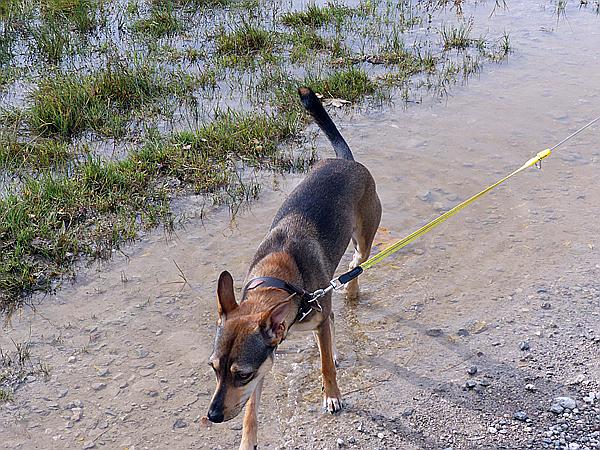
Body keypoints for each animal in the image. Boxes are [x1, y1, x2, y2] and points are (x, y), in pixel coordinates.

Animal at [209, 86, 382, 448]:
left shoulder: (312, 324)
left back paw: (352, 288)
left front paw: (332, 395)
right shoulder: (265, 360)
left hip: (364, 236)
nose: (213, 416)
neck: (278, 280)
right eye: (214, 368)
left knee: (358, 263)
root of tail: (346, 161)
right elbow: (250, 409)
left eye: (240, 374)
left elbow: (326, 366)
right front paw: (247, 440)